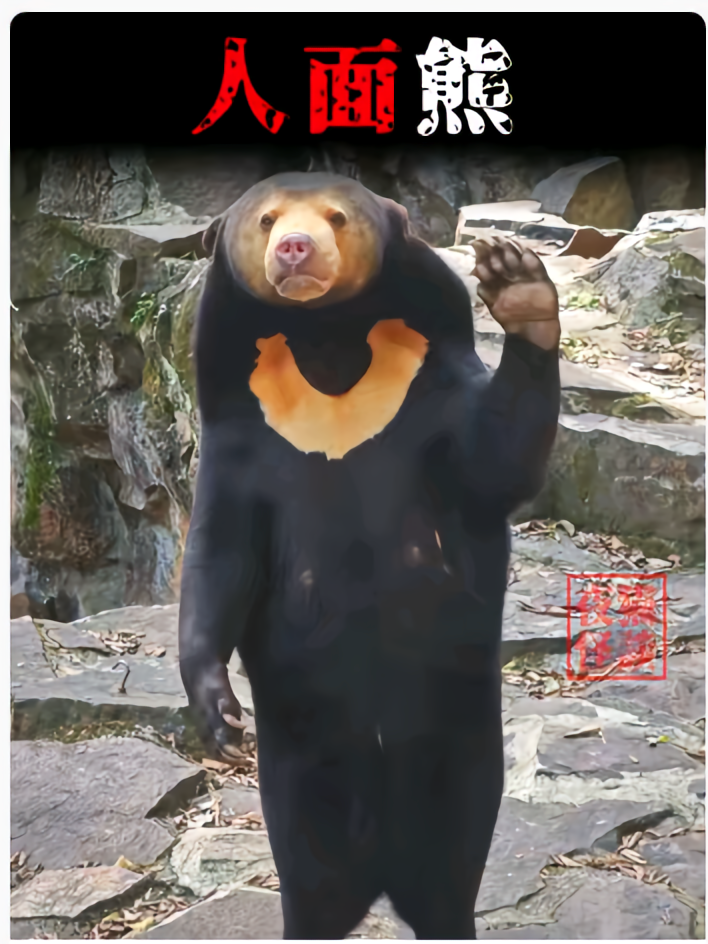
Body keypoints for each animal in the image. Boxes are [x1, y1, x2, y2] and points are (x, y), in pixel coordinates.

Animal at [179, 172, 560, 940]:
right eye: (266, 220)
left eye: (335, 216)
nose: (295, 248)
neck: (328, 341)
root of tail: (382, 878)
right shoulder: (239, 419)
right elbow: (219, 551)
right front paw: (218, 715)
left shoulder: (427, 380)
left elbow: (494, 463)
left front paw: (517, 282)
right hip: (302, 755)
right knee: (311, 873)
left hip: (457, 736)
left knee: (451, 866)